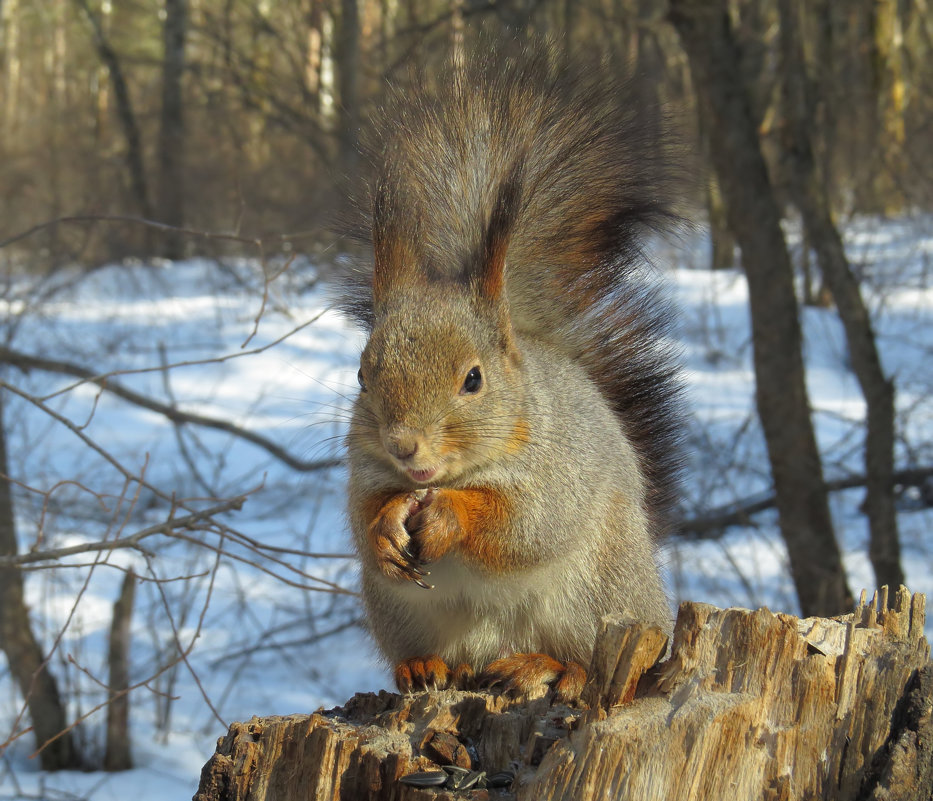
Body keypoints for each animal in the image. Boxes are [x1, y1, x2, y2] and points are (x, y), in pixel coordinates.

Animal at [338, 45, 680, 700]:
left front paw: (450, 515)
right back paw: (423, 667)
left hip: (601, 594)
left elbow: (524, 524)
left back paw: (551, 667)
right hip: (401, 613)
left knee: (584, 652)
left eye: (473, 379)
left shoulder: (559, 468)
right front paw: (385, 528)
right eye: (363, 376)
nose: (403, 444)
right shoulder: (365, 472)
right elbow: (364, 515)